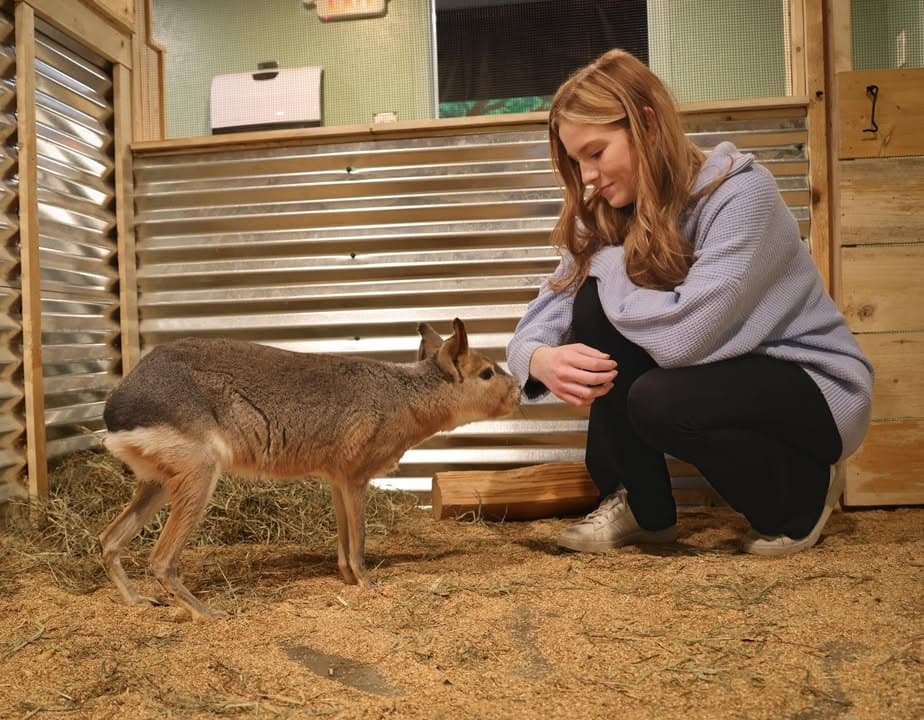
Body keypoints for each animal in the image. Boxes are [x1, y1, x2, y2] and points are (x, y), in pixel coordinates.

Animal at [98, 319, 521, 621]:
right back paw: (208, 613)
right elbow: (359, 541)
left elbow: (343, 540)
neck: (403, 398)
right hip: (198, 474)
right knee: (160, 559)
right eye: (487, 372)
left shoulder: (336, 479)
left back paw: (138, 602)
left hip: (157, 481)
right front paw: (368, 584)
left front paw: (346, 579)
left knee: (108, 538)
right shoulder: (356, 477)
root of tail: (116, 410)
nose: (519, 390)